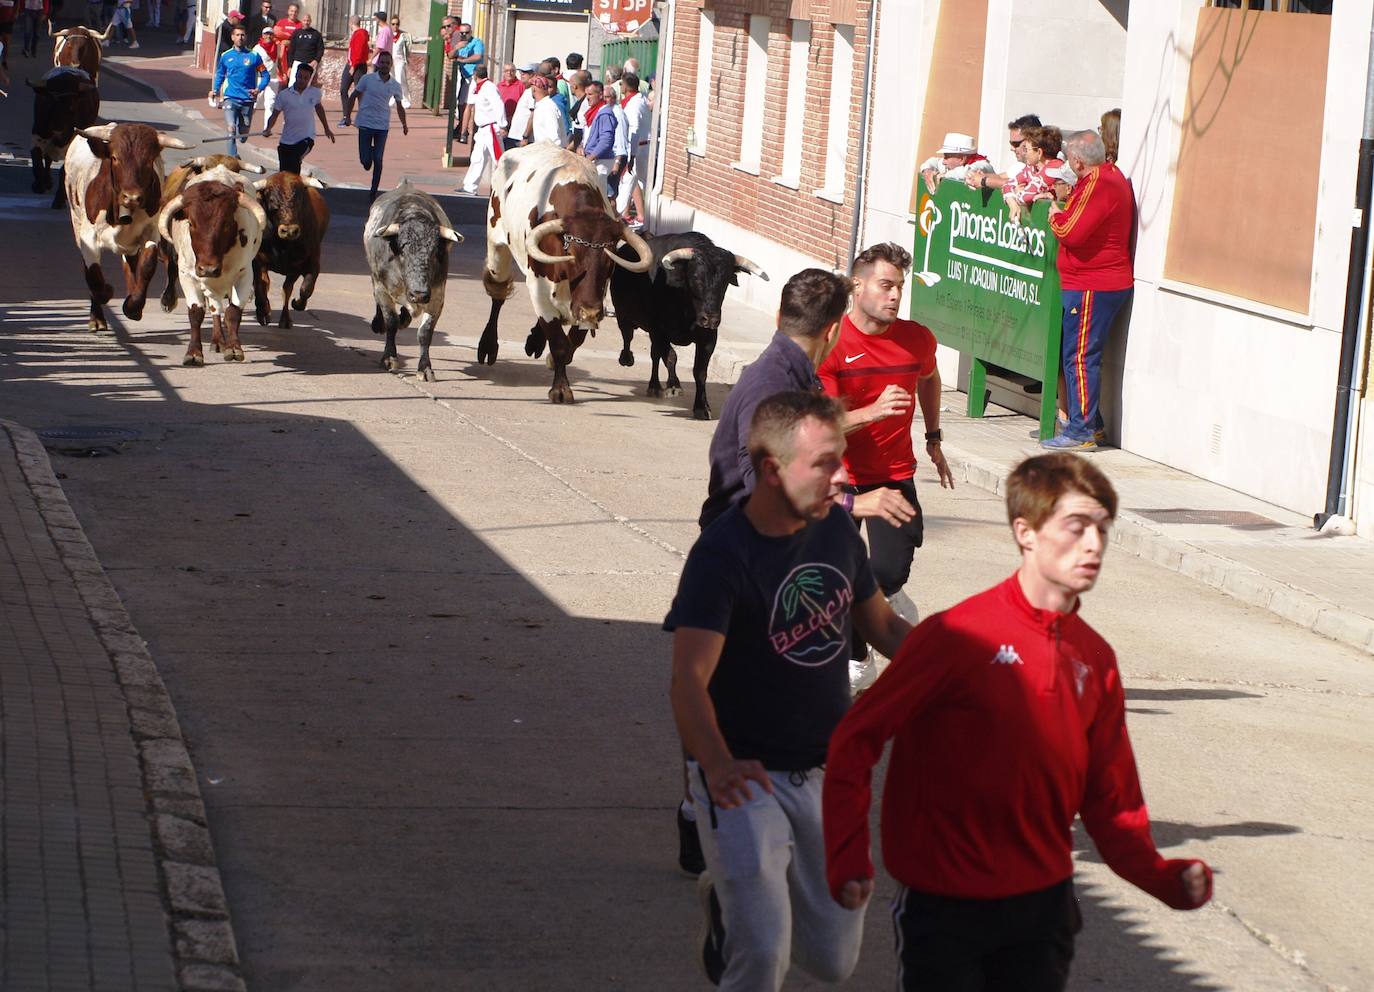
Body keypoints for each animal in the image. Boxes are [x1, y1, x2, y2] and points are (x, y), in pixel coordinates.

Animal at [65, 122, 193, 332]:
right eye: (115, 157)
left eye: (149, 160)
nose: (132, 197)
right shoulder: (88, 237)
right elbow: (93, 275)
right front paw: (107, 292)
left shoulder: (150, 231)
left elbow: (147, 266)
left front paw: (133, 306)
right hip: (76, 222)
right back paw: (97, 318)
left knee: (132, 265)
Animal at [157, 164, 266, 365]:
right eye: (191, 223)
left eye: (226, 224)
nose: (208, 269)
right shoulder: (187, 275)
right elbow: (196, 312)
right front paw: (193, 353)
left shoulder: (244, 274)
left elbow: (233, 312)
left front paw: (234, 348)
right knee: (215, 307)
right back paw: (217, 341)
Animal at [475, 142, 651, 401]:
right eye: (573, 255)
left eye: (609, 262)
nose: (590, 312)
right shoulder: (538, 286)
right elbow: (558, 342)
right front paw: (560, 389)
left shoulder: (591, 297)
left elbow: (573, 340)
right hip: (497, 248)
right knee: (497, 294)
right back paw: (488, 345)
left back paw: (535, 341)